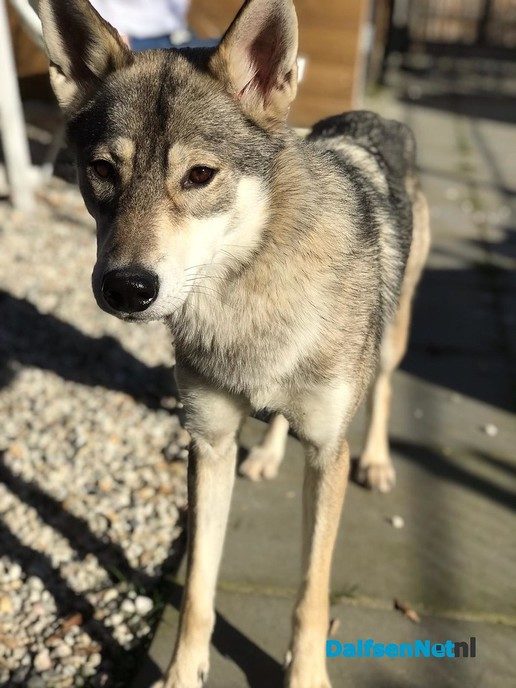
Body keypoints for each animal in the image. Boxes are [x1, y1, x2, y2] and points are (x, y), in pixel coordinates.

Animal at [39, 0, 430, 685]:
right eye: (102, 172)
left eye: (200, 175)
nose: (127, 288)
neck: (244, 294)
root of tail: (376, 115)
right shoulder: (209, 443)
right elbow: (199, 586)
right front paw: (181, 673)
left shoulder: (328, 454)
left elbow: (311, 593)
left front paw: (306, 676)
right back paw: (268, 456)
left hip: (392, 341)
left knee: (382, 393)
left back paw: (379, 462)